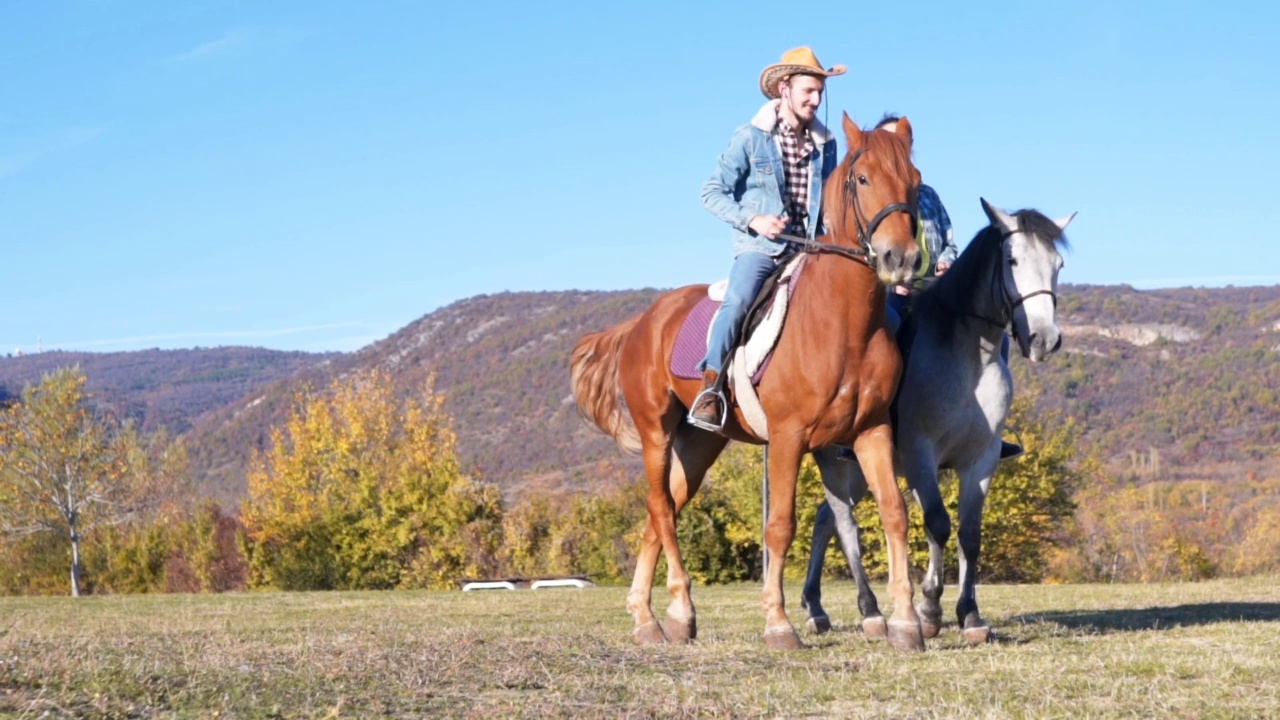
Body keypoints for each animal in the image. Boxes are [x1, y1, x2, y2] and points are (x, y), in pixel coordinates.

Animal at [576, 113, 926, 650]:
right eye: (863, 179)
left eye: (915, 182)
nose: (900, 259)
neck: (844, 321)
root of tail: (642, 321)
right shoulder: (787, 437)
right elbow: (779, 526)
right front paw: (778, 623)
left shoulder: (872, 431)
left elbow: (894, 513)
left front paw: (906, 622)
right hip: (657, 433)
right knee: (661, 507)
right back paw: (669, 613)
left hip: (700, 444)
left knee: (661, 514)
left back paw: (654, 616)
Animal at [803, 196, 1075, 638]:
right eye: (1012, 259)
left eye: (1058, 264)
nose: (1043, 340)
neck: (967, 359)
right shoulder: (921, 456)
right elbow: (937, 522)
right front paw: (930, 608)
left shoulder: (980, 460)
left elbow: (968, 533)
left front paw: (970, 614)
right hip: (835, 462)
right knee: (843, 523)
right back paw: (869, 609)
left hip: (860, 467)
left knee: (824, 519)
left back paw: (815, 606)